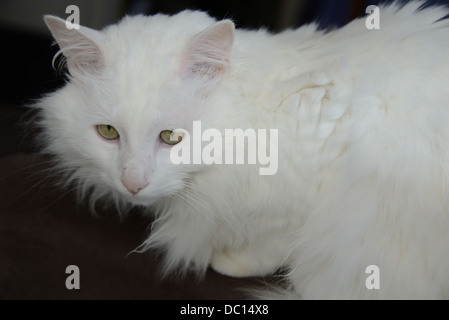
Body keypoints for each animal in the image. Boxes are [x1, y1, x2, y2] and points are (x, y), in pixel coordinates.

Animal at [37, 1, 448, 298]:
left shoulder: (308, 190)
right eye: (108, 133)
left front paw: (232, 261)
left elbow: (274, 243)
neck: (263, 115)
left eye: (171, 137)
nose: (132, 183)